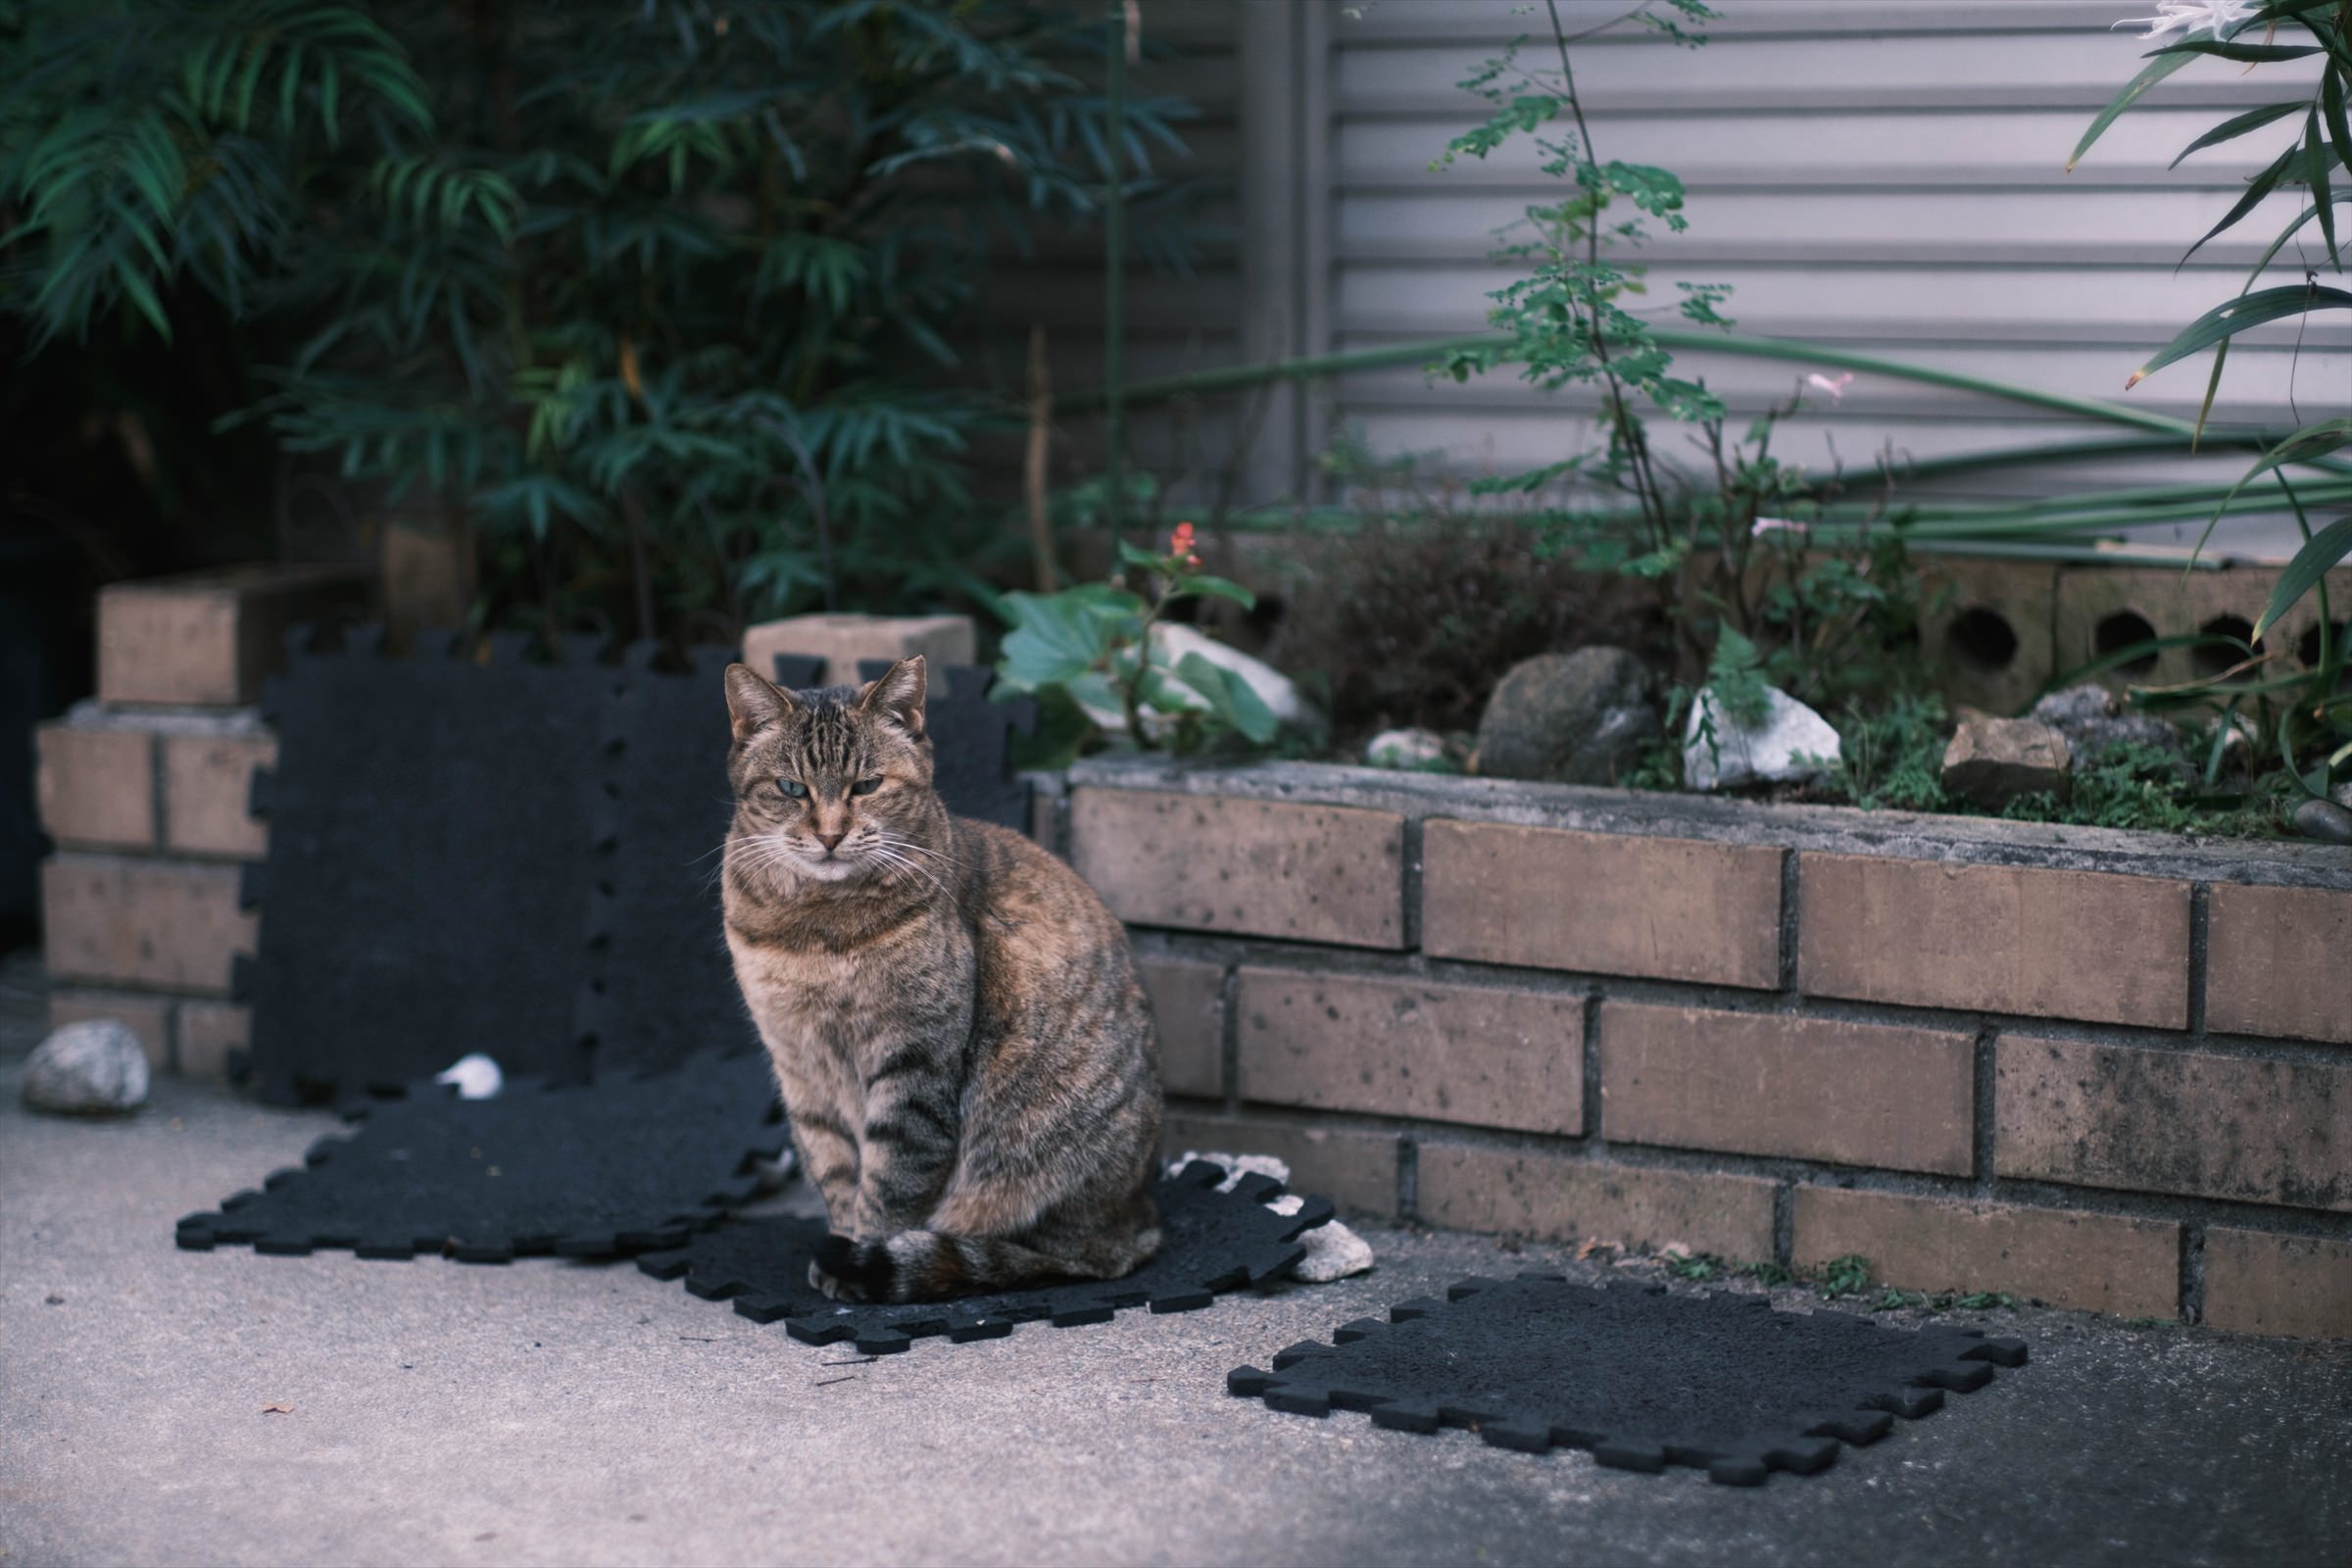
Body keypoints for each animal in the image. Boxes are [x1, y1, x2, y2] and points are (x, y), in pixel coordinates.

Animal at [719, 654, 1164, 1303]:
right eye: (792, 789)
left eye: (867, 786)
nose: (829, 834)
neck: (819, 930)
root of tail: (1140, 1222)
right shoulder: (799, 1064)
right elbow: (834, 1168)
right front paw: (838, 1247)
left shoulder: (916, 1060)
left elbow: (891, 1182)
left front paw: (857, 1258)